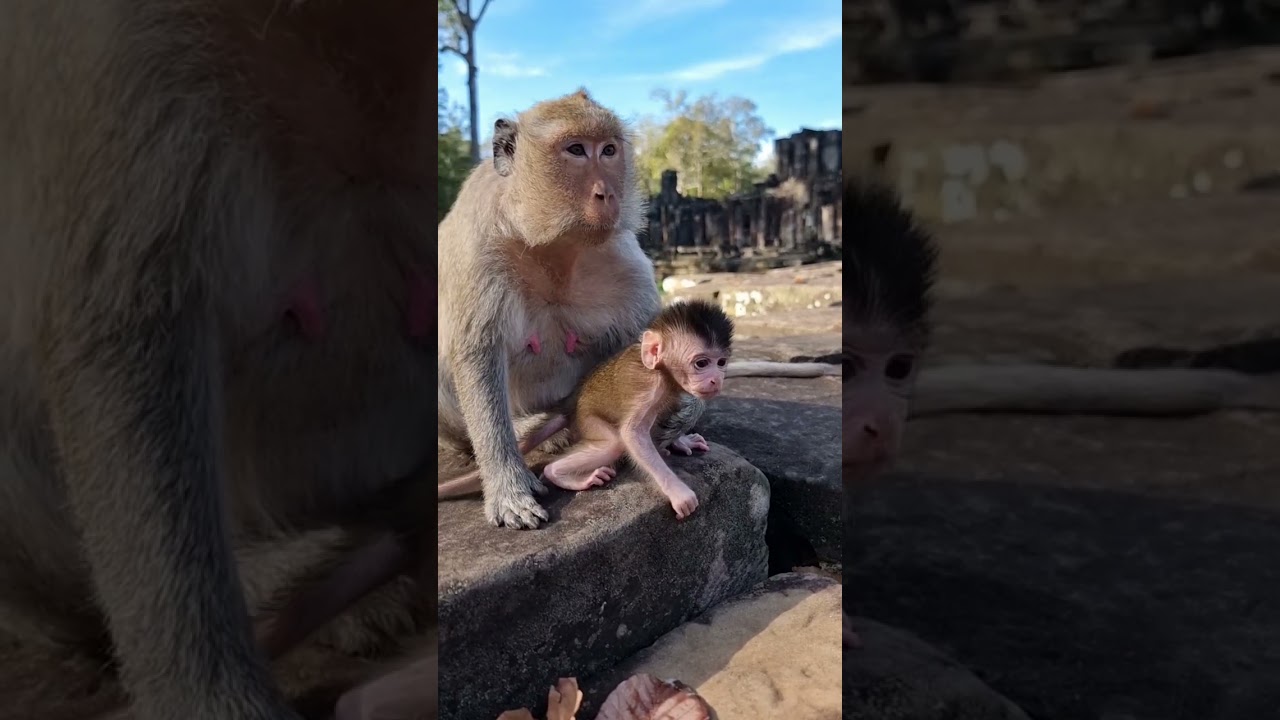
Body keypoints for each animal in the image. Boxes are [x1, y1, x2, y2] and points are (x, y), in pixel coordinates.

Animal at [436, 89, 662, 531]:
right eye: (576, 150)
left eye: (608, 150)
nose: (607, 194)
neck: (550, 245)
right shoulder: (480, 244)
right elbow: (476, 353)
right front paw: (507, 487)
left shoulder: (620, 254)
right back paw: (535, 429)